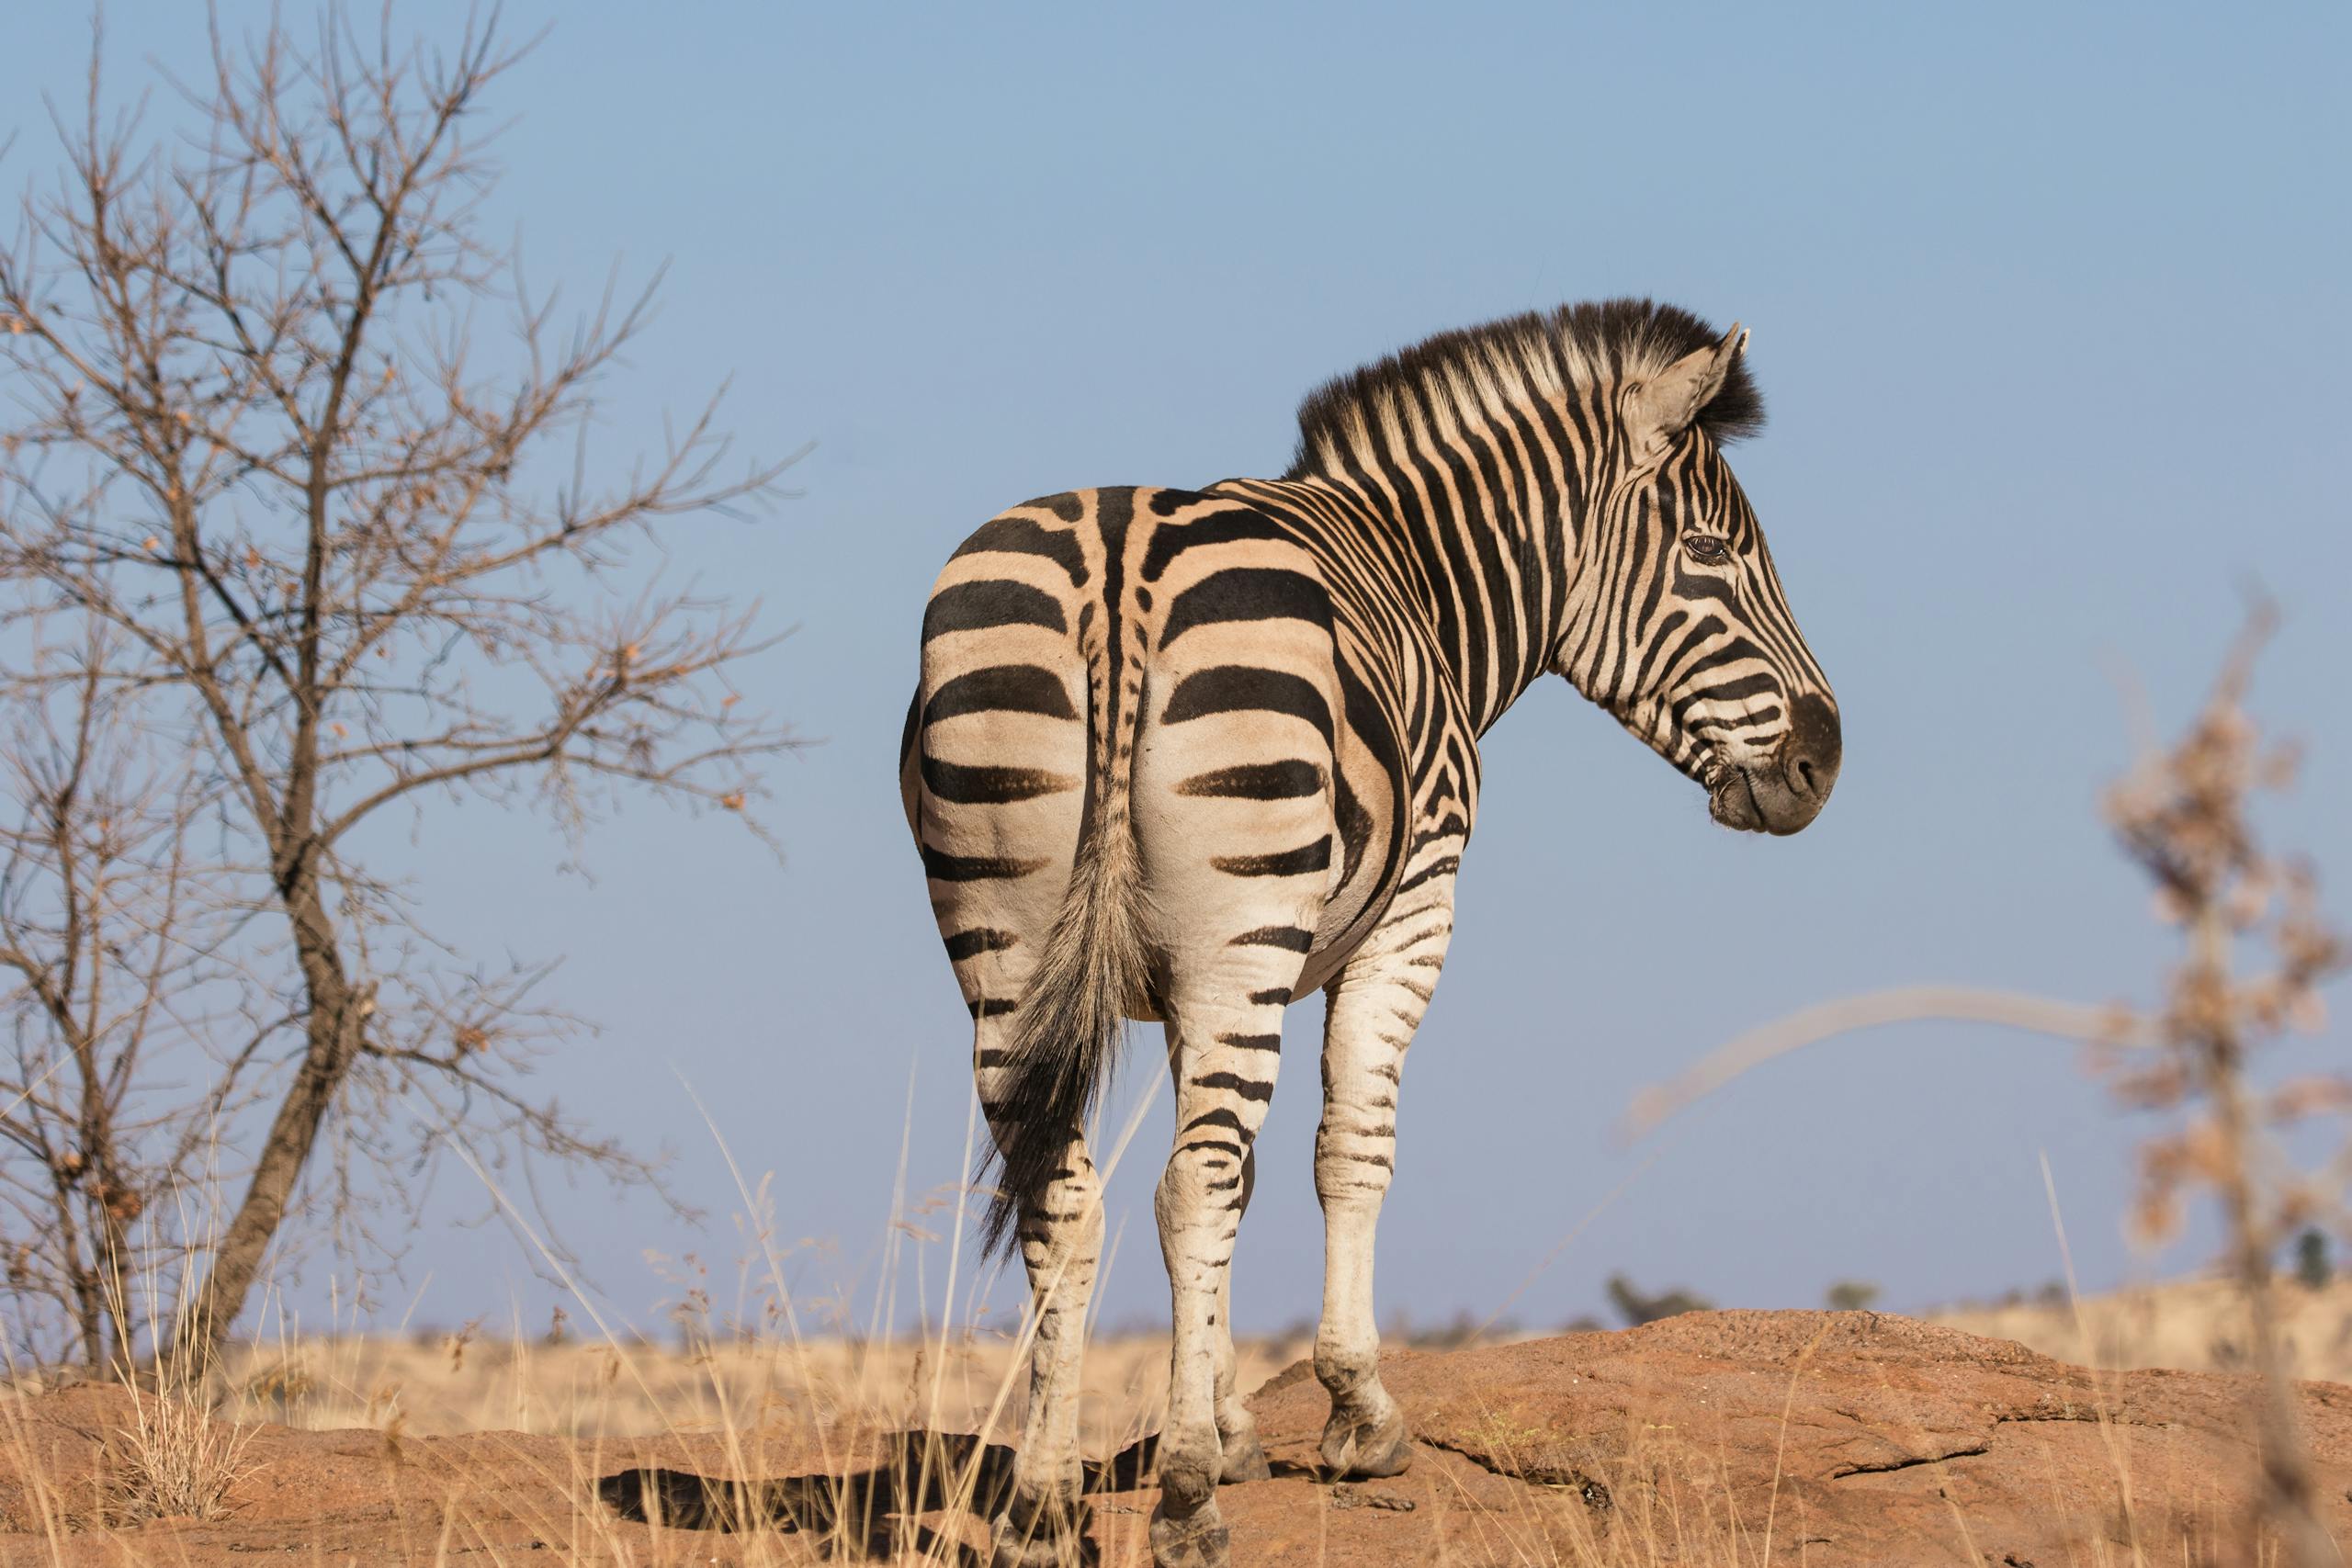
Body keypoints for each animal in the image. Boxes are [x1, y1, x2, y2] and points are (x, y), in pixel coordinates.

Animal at [898, 300, 1834, 1561]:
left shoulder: (1184, 981)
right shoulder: (1413, 909)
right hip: (1239, 926)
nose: (1823, 764)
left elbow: (1243, 1183)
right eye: (1710, 555)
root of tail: (1118, 564)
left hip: (1003, 934)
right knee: (1188, 1185)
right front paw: (1352, 1414)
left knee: (1067, 1190)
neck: (1418, 578)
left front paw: (1231, 1428)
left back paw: (1042, 1506)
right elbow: (1348, 1150)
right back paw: (1182, 1507)